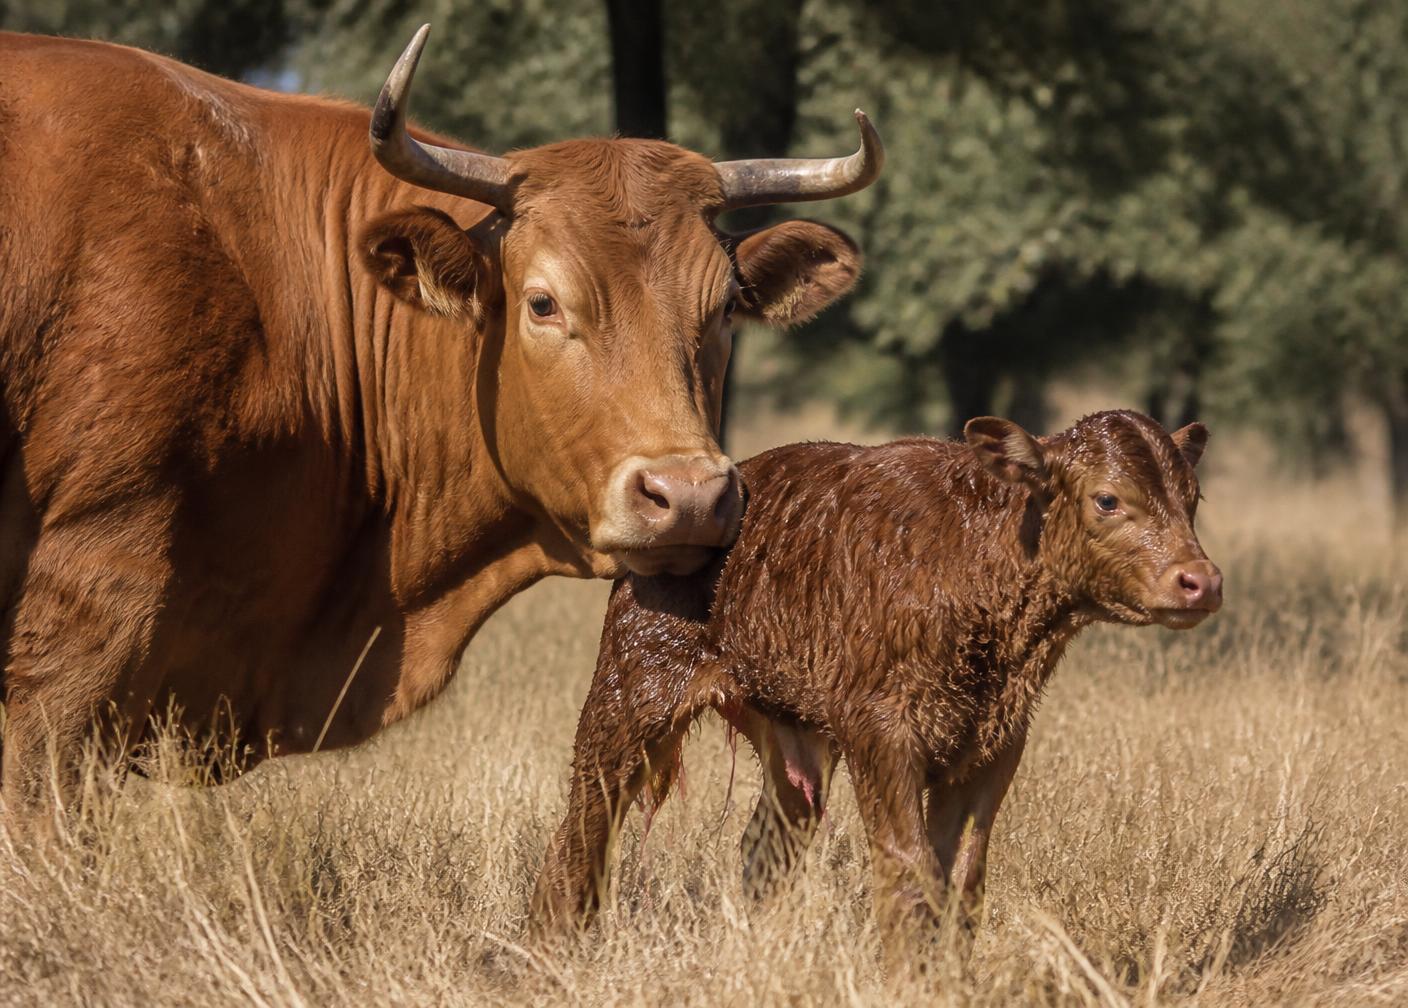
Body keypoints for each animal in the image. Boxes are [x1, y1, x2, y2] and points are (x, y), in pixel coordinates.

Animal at [532, 410, 1223, 961]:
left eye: (1192, 499)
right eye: (1108, 500)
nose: (1202, 581)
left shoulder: (996, 743)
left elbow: (961, 878)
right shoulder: (882, 730)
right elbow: (909, 871)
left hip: (792, 741)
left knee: (765, 849)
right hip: (630, 693)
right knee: (580, 834)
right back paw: (551, 952)